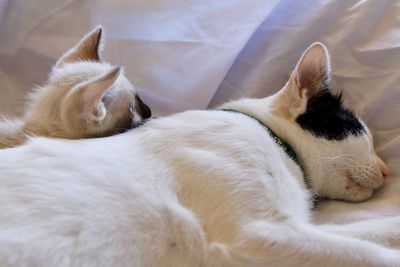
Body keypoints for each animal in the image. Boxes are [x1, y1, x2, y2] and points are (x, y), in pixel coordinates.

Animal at [0, 43, 396, 266]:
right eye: (360, 131)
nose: (387, 170)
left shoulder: (296, 226)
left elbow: (367, 232)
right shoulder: (261, 233)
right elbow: (374, 255)